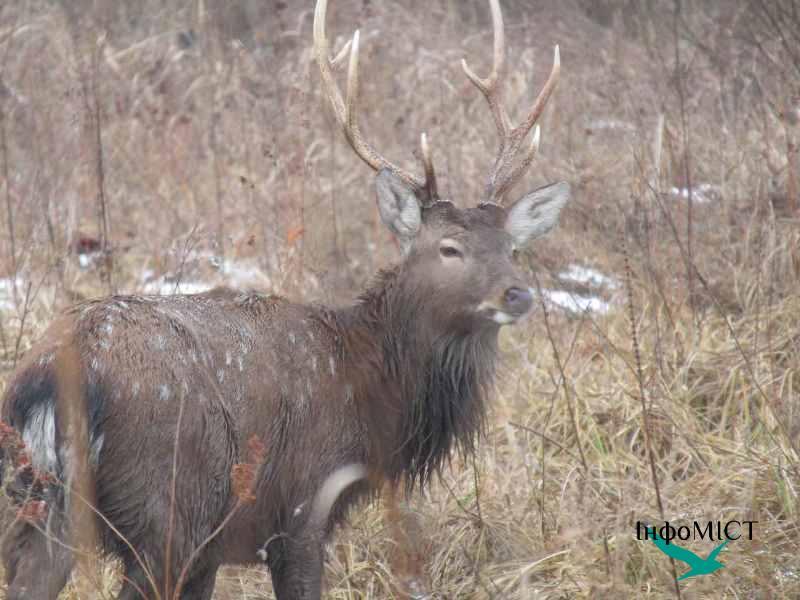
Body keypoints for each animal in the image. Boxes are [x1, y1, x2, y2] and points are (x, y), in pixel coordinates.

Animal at [0, 0, 568, 596]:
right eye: (449, 248)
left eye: (511, 247)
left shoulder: (215, 546)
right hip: (163, 507)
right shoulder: (301, 505)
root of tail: (51, 378)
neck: (369, 389)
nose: (517, 293)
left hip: (38, 504)